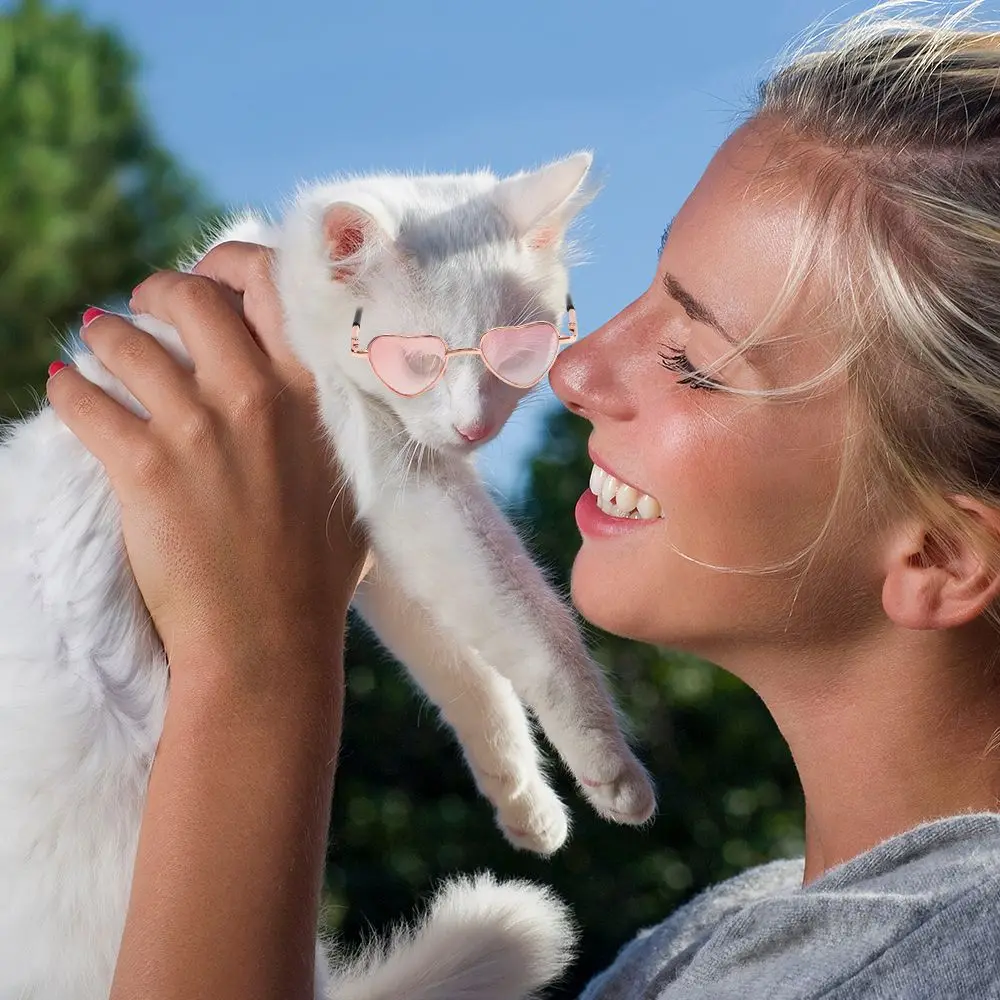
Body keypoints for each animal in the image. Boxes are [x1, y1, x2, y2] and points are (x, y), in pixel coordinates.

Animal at [0, 152, 656, 996]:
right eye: (417, 360)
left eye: (517, 353)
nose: (475, 425)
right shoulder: (414, 494)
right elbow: (538, 631)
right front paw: (613, 773)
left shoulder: (388, 542)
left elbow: (471, 678)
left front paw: (524, 801)